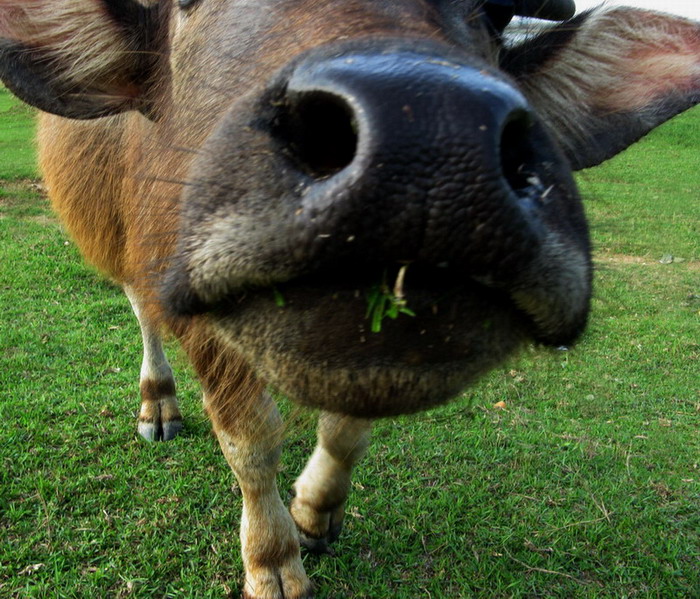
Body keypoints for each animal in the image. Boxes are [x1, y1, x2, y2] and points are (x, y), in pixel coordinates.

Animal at [0, 0, 696, 596]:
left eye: (497, 14)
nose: (428, 137)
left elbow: (348, 429)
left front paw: (315, 512)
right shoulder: (186, 297)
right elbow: (250, 438)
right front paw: (273, 560)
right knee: (143, 314)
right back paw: (159, 405)